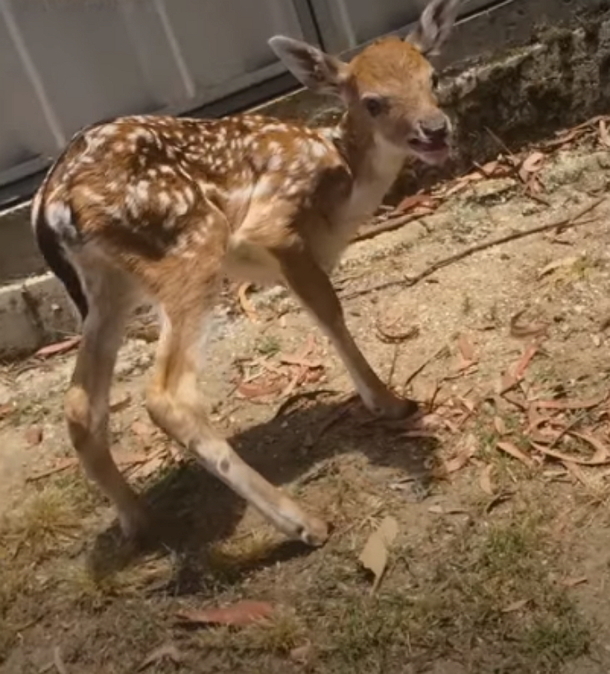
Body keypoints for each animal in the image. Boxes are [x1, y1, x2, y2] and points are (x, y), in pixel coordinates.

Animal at [31, 0, 460, 550]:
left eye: (432, 76)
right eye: (373, 102)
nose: (435, 129)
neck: (346, 188)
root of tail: (54, 204)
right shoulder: (275, 224)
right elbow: (330, 312)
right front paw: (388, 402)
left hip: (110, 286)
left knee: (80, 403)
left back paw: (139, 521)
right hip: (191, 242)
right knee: (167, 395)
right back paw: (304, 523)